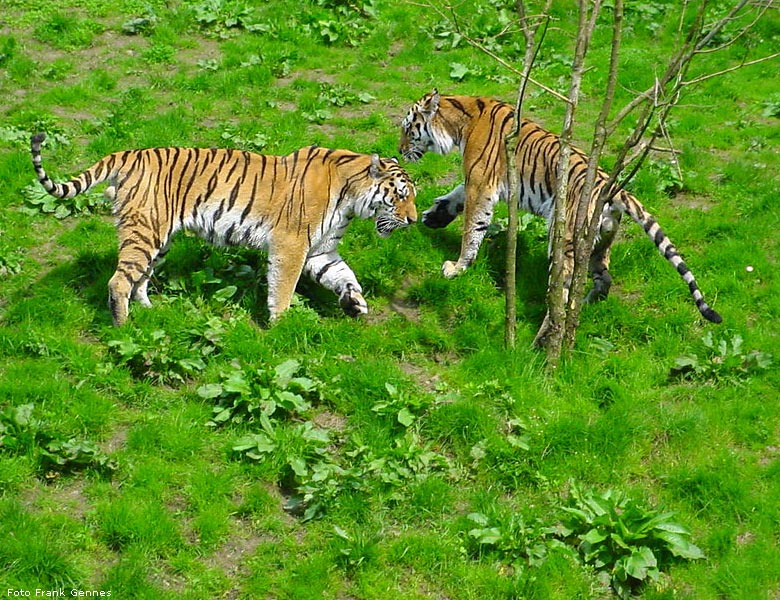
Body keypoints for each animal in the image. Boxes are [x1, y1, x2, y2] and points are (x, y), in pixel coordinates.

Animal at [30, 134, 418, 326]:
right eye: (401, 195)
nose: (414, 220)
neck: (352, 198)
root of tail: (128, 154)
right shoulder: (291, 245)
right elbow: (283, 288)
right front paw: (281, 324)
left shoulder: (321, 250)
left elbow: (345, 275)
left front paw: (355, 303)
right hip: (145, 232)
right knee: (118, 282)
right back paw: (125, 329)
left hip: (159, 239)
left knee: (139, 278)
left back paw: (150, 310)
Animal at [400, 89, 724, 330]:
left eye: (407, 129)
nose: (399, 150)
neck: (461, 119)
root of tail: (614, 190)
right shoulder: (478, 183)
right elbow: (456, 196)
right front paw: (434, 217)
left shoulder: (481, 183)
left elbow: (472, 227)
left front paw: (456, 267)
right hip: (599, 242)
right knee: (602, 279)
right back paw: (586, 307)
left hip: (566, 238)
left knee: (562, 295)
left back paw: (545, 337)